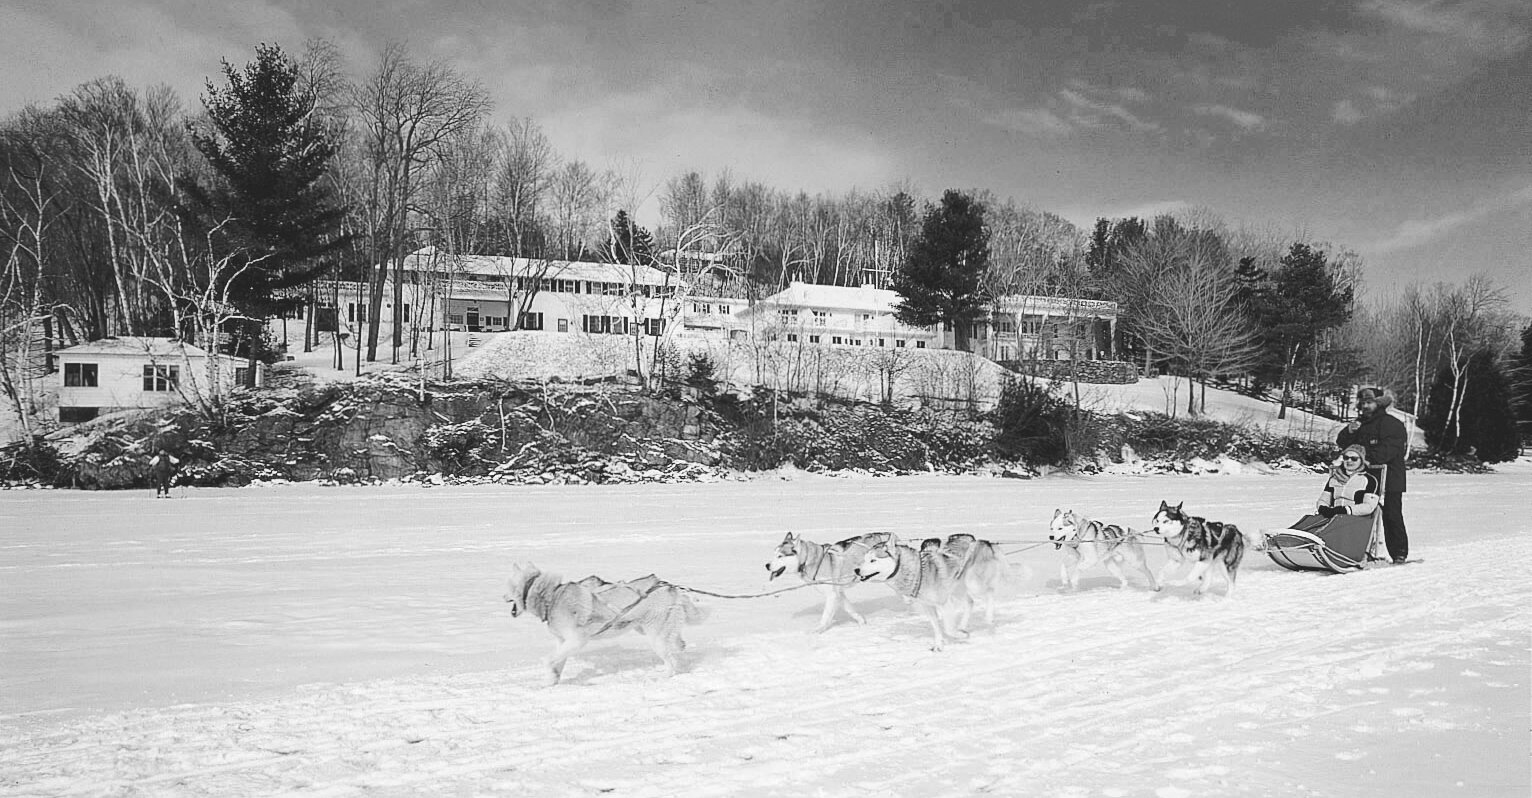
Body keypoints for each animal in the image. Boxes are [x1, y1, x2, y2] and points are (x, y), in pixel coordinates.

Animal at [502, 560, 704, 683]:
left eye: (508, 586)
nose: (501, 597)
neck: (551, 597)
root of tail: (671, 588)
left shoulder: (576, 641)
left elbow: (548, 660)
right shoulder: (563, 642)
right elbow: (557, 662)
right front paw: (552, 681)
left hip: (656, 638)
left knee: (670, 660)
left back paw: (665, 676)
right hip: (651, 629)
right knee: (679, 645)